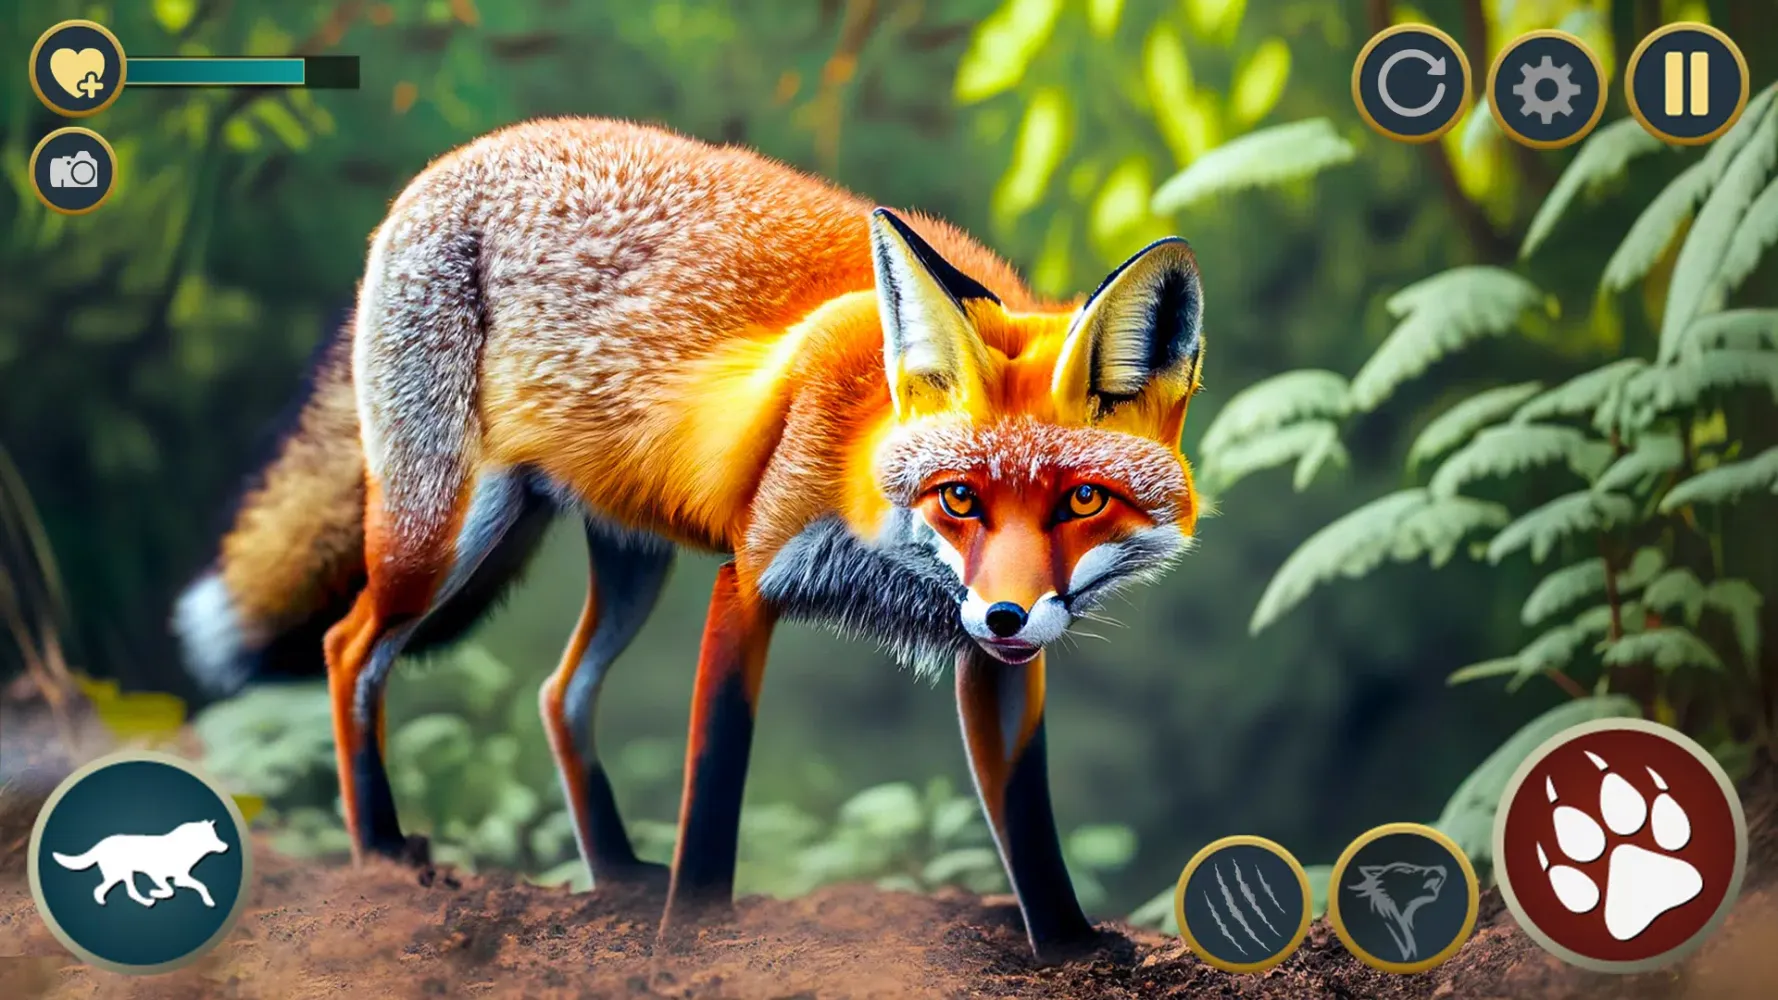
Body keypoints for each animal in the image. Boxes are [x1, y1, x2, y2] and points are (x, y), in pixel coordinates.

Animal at [171, 117, 1207, 961]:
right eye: (959, 499)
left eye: (1082, 502)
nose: (1005, 613)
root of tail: (455, 160)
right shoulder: (748, 580)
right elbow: (715, 776)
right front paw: (692, 935)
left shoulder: (993, 656)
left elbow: (1026, 819)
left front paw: (1069, 948)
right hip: (447, 535)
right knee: (349, 648)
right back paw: (385, 856)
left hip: (629, 561)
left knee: (558, 691)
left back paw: (616, 875)